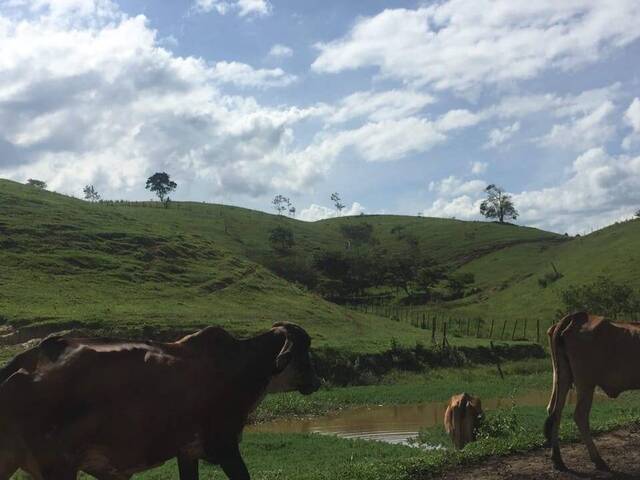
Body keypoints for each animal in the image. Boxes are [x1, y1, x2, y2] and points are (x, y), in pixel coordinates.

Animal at [0, 322, 320, 480]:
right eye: (305, 348)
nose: (318, 381)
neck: (245, 365)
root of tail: (28, 358)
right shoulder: (225, 447)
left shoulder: (187, 452)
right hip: (59, 467)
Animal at [544, 312, 640, 472]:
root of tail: (575, 317)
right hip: (586, 384)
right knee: (580, 415)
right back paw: (598, 459)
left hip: (561, 376)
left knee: (555, 411)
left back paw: (558, 459)